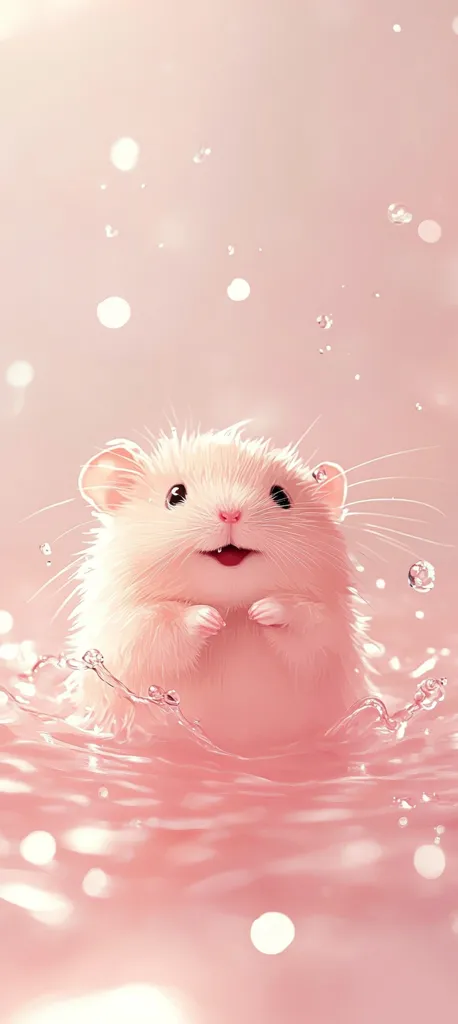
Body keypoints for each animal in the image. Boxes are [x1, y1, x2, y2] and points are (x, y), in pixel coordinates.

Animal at [68, 426, 371, 754]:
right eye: (175, 495)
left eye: (282, 496)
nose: (231, 514)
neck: (231, 603)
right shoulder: (124, 629)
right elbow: (158, 627)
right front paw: (211, 618)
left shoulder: (331, 632)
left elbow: (308, 627)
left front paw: (261, 610)